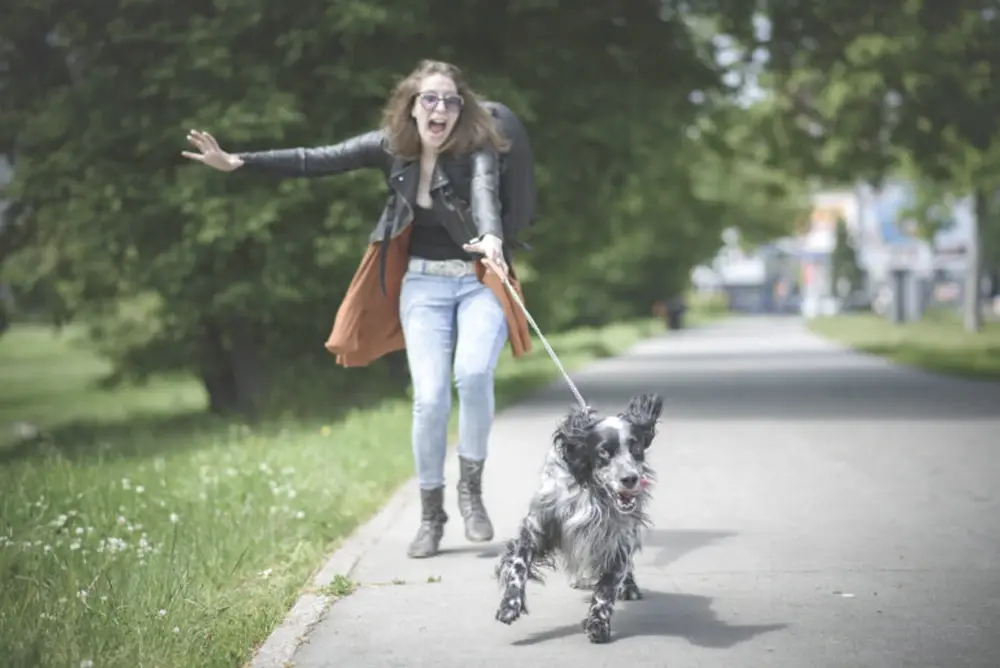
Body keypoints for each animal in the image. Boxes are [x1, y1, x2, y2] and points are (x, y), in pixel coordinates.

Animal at [494, 394, 664, 644]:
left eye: (636, 447)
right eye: (604, 451)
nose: (630, 479)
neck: (591, 493)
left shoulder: (618, 540)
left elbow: (606, 588)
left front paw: (598, 623)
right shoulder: (536, 527)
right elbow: (518, 565)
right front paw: (510, 604)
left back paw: (628, 587)